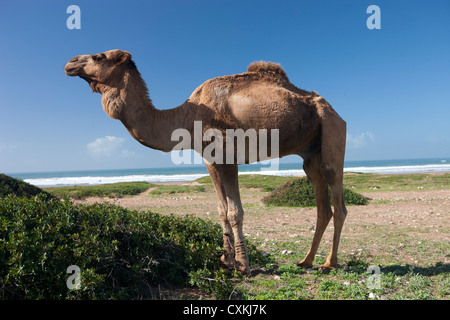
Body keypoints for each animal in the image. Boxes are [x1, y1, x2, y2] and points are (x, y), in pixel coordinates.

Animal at [64, 50, 348, 276]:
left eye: (99, 56)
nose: (70, 62)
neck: (186, 116)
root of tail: (334, 110)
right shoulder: (209, 159)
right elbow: (222, 210)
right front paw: (226, 260)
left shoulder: (227, 153)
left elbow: (235, 211)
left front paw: (244, 266)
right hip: (310, 153)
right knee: (321, 201)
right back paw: (306, 261)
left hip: (331, 128)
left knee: (337, 195)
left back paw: (329, 263)